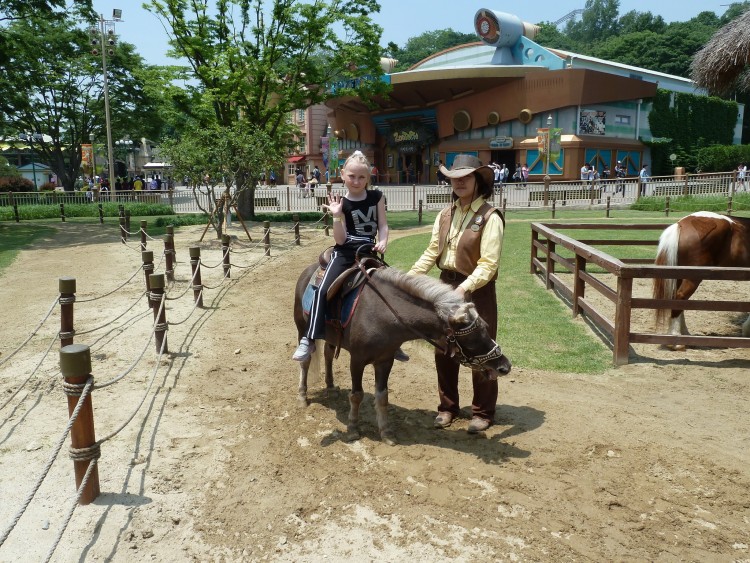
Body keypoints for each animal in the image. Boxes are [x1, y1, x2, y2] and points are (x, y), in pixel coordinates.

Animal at [296, 262, 516, 446]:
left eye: (486, 328)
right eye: (473, 337)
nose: (504, 366)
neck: (382, 314)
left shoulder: (385, 360)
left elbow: (382, 397)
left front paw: (386, 432)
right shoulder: (357, 361)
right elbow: (356, 395)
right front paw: (352, 429)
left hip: (331, 336)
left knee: (327, 354)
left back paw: (331, 387)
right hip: (302, 330)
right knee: (306, 362)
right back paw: (303, 396)